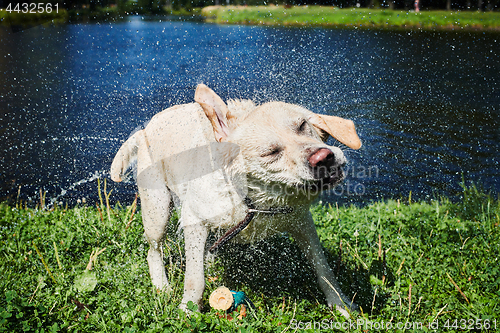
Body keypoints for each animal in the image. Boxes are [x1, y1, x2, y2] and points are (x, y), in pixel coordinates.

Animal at [111, 83, 362, 316]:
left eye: (302, 125)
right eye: (270, 152)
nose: (324, 158)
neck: (253, 200)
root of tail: (145, 129)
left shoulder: (302, 222)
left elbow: (323, 269)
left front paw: (341, 305)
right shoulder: (194, 220)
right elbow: (195, 278)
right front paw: (188, 310)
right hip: (157, 211)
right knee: (153, 251)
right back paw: (161, 286)